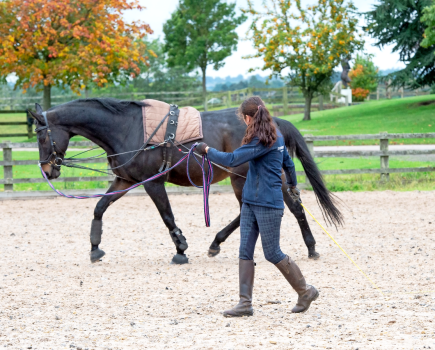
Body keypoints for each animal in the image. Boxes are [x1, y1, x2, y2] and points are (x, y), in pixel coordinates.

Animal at [29, 97, 346, 264]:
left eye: (41, 136)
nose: (47, 170)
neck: (127, 128)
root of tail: (272, 121)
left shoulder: (152, 183)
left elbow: (167, 216)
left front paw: (180, 249)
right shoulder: (124, 181)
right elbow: (99, 208)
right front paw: (95, 247)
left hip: (253, 177)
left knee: (292, 206)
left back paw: (311, 246)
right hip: (242, 178)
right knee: (249, 211)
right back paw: (217, 242)